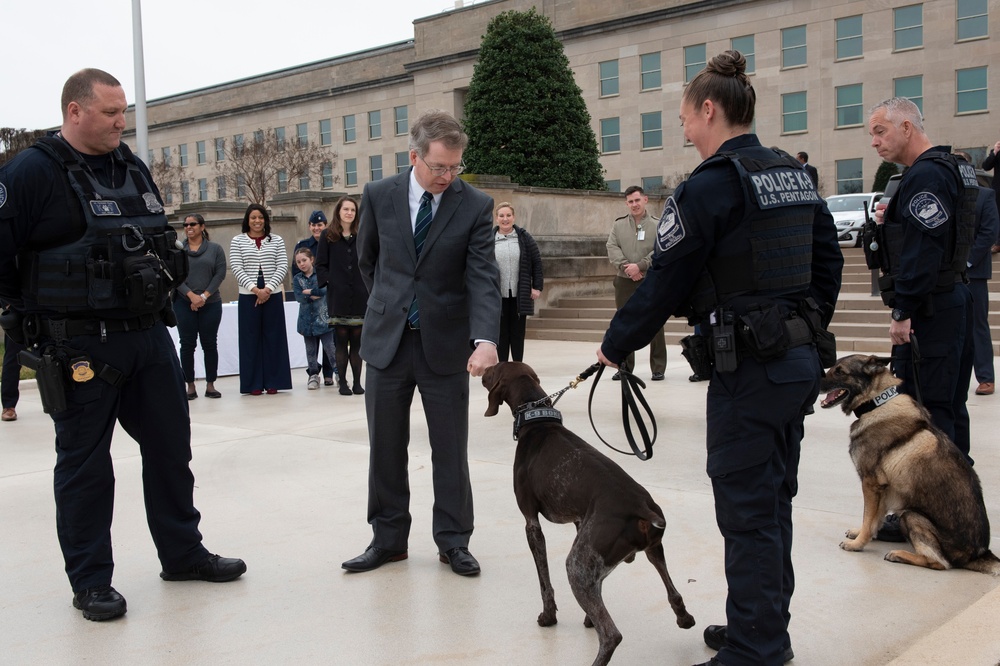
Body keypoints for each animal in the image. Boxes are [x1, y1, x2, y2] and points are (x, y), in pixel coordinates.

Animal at [480, 360, 692, 660]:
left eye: (494, 369)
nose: (481, 369)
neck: (538, 421)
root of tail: (640, 507)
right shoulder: (581, 524)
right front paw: (588, 618)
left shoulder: (532, 523)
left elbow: (544, 581)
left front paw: (549, 617)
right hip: (647, 549)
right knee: (673, 592)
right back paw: (684, 617)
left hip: (576, 566)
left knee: (611, 635)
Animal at [820, 350, 1000, 572]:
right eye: (833, 368)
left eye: (840, 372)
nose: (815, 382)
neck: (876, 403)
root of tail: (979, 554)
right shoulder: (881, 489)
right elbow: (873, 520)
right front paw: (861, 533)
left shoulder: (871, 484)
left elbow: (868, 516)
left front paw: (858, 543)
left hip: (911, 515)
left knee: (940, 562)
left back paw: (900, 554)